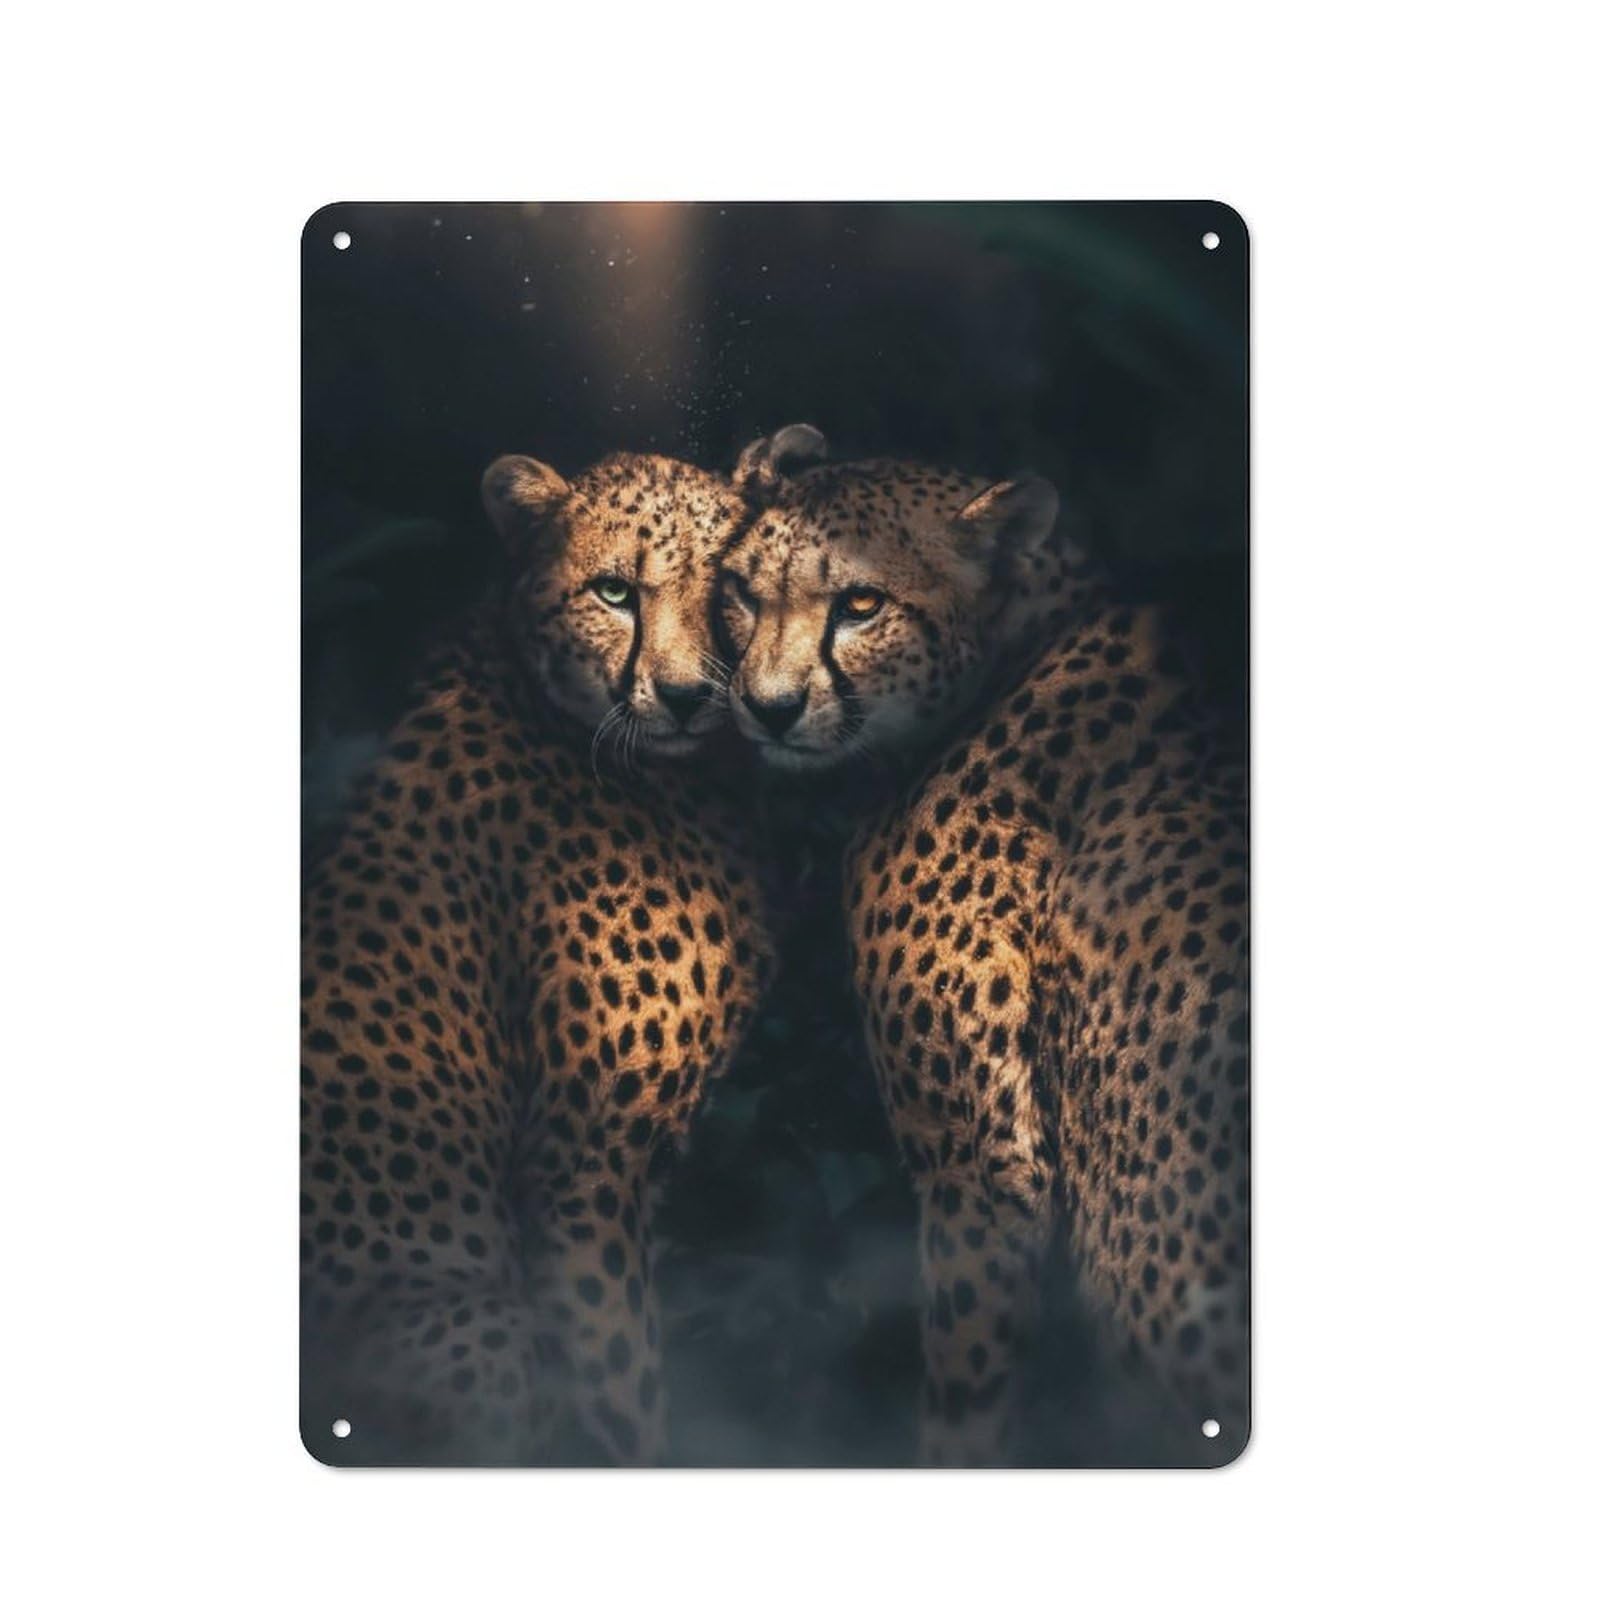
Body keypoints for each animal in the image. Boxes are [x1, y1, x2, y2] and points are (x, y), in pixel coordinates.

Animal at [301, 448, 775, 1466]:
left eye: (729, 588)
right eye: (614, 592)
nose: (688, 695)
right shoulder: (582, 1169)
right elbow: (622, 1394)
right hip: (481, 1328)